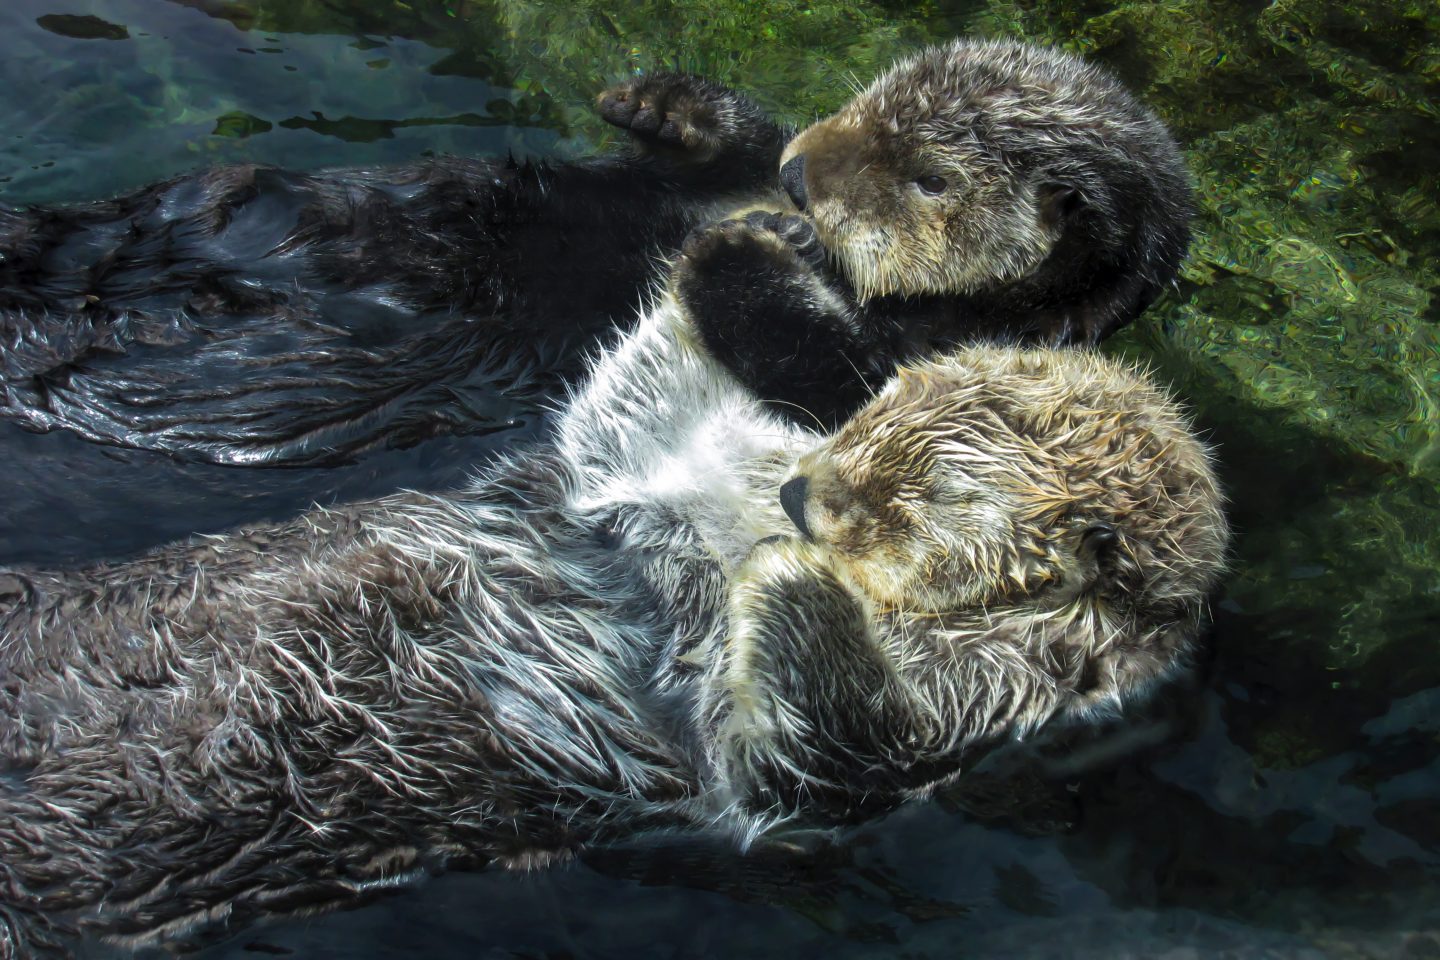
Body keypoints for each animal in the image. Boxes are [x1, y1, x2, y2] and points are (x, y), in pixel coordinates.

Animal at [0, 202, 1226, 955]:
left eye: (920, 498)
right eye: (873, 415)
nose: (800, 500)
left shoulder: (984, 701)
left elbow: (818, 754)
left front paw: (793, 575)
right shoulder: (623, 479)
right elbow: (627, 408)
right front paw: (757, 243)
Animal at [2, 41, 1192, 469]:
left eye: (932, 179)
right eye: (865, 97)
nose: (801, 182)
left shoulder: (955, 361)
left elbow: (828, 379)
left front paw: (742, 246)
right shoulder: (723, 165)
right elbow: (723, 140)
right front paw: (656, 104)